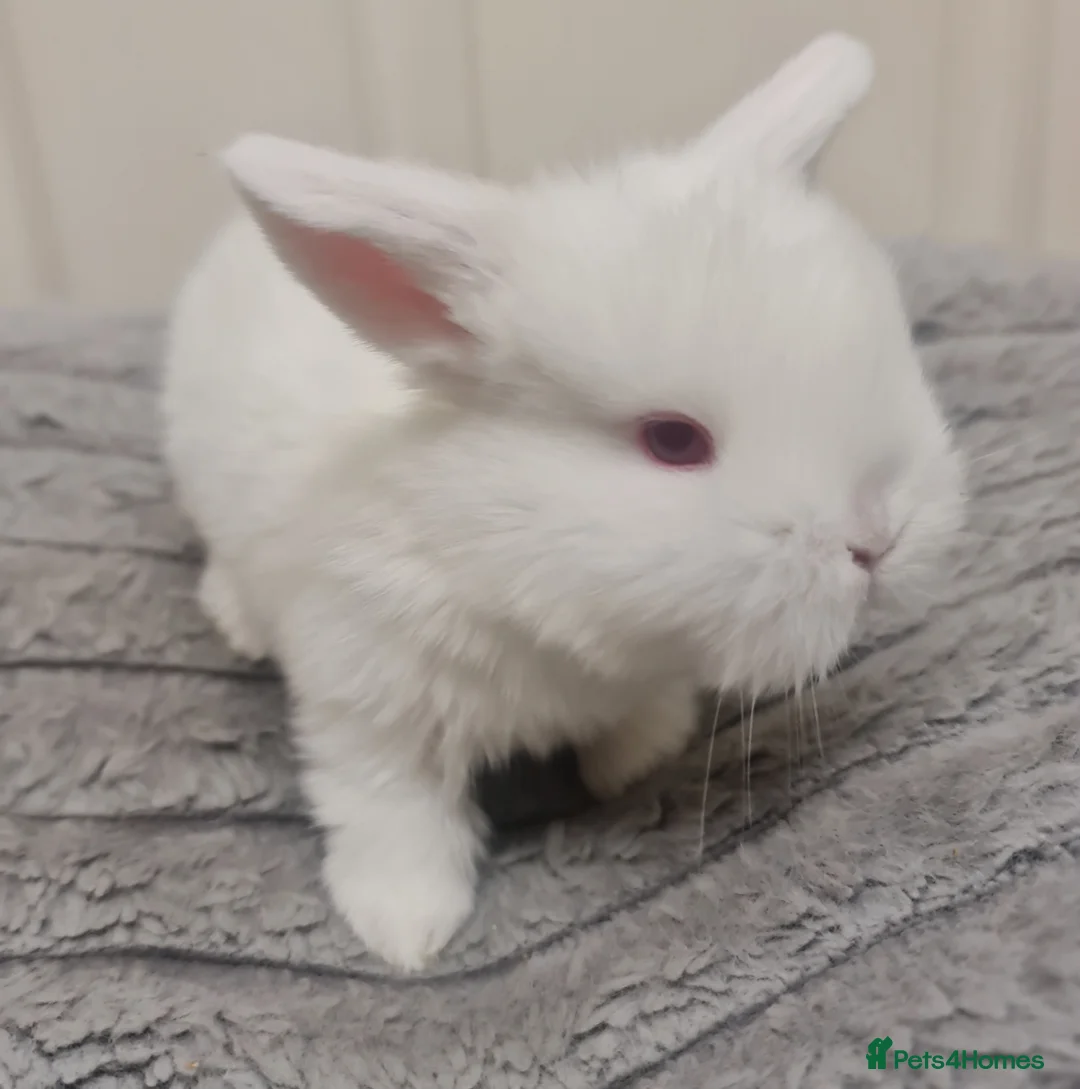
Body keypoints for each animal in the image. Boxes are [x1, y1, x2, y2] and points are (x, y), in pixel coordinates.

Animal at [161, 32, 964, 972]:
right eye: (673, 440)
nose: (876, 538)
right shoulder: (368, 698)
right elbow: (392, 808)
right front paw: (406, 930)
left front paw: (635, 760)